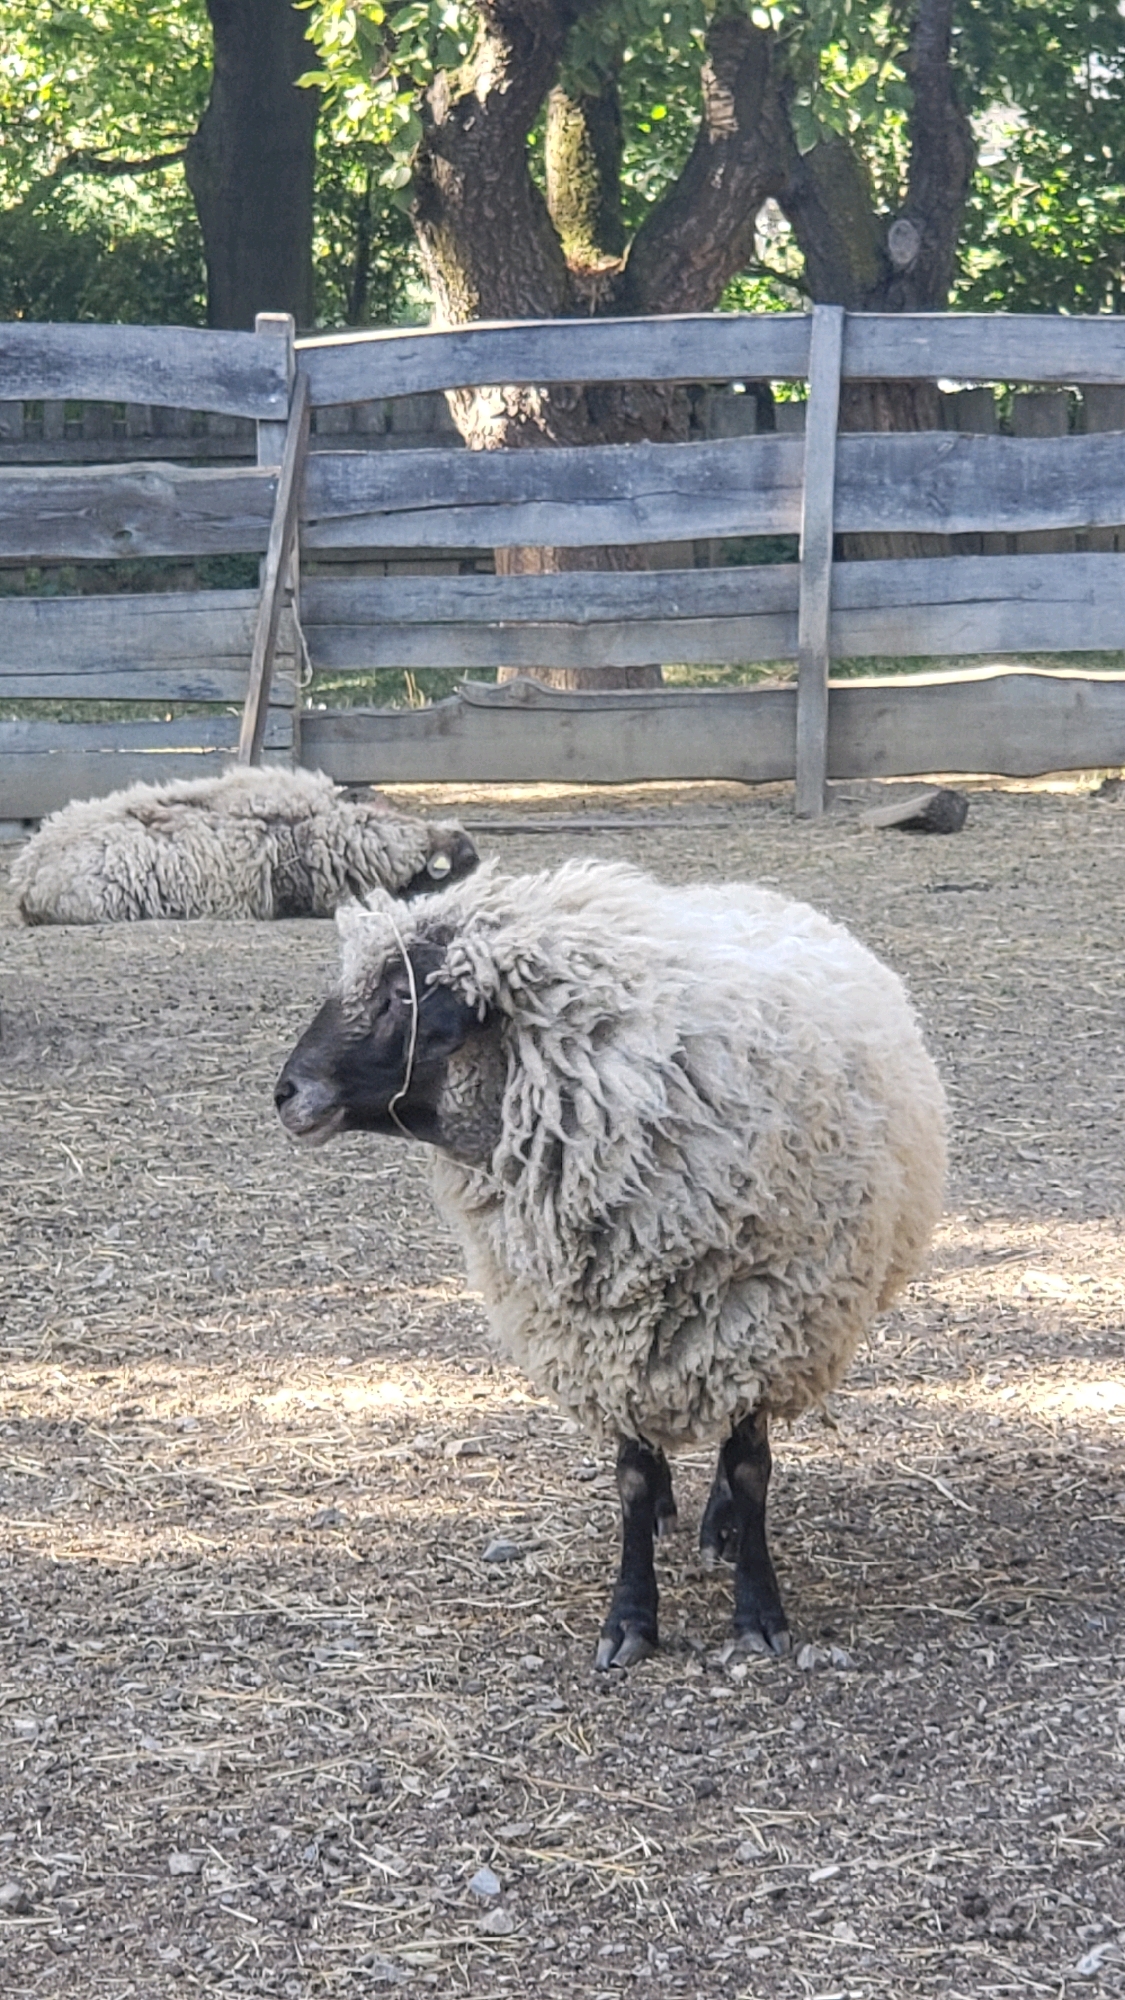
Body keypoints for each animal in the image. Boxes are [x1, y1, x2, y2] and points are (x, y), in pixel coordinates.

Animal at [275, 857, 947, 1668]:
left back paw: (719, 1523)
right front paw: (629, 1617)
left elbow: (751, 1469)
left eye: (403, 994)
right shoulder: (601, 1333)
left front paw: (757, 1610)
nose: (283, 1093)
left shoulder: (766, 1322)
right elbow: (630, 1478)